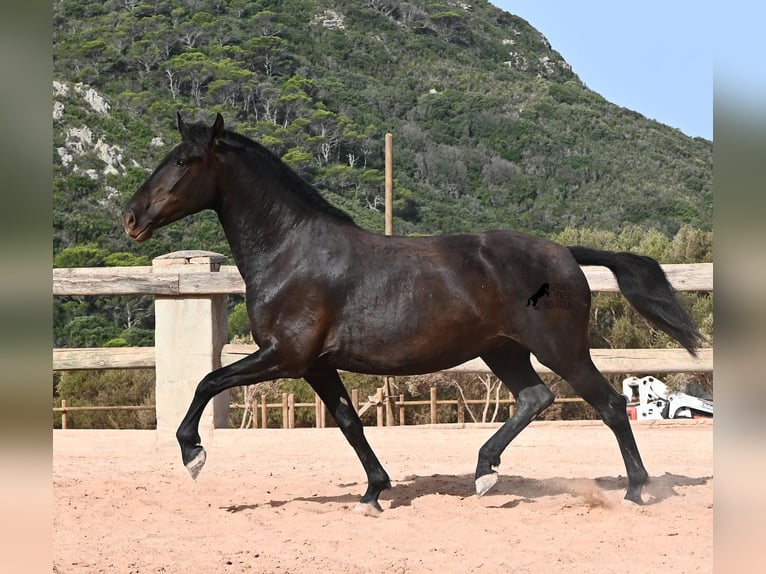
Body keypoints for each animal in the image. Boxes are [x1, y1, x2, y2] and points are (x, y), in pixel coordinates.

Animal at [123, 113, 703, 515]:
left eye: (183, 162)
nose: (131, 217)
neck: (292, 252)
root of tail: (564, 252)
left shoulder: (284, 356)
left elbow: (206, 381)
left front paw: (193, 454)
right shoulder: (316, 365)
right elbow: (349, 422)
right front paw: (373, 493)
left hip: (559, 348)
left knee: (609, 404)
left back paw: (634, 491)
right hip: (502, 350)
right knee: (535, 398)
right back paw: (484, 472)